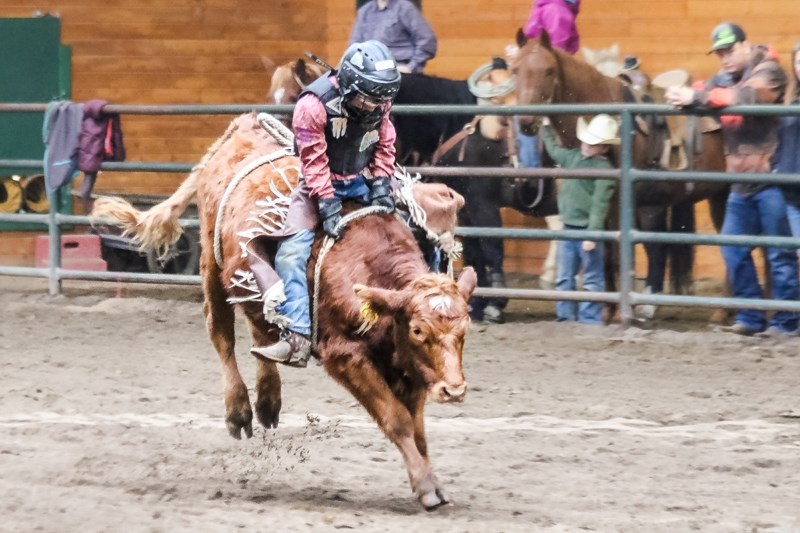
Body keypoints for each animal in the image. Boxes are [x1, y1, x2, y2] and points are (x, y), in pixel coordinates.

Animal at [95, 113, 482, 512]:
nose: (454, 390)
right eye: (419, 330)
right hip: (210, 264)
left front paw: (431, 482)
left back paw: (269, 398)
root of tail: (243, 126)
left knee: (263, 328)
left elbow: (417, 428)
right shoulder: (345, 356)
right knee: (222, 336)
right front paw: (426, 487)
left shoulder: (410, 366)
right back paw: (240, 411)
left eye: (464, 330)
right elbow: (398, 420)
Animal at [512, 29, 732, 304]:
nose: (527, 121)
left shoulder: (616, 206)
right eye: (515, 70)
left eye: (549, 70)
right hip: (714, 196)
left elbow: (615, 255)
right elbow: (602, 254)